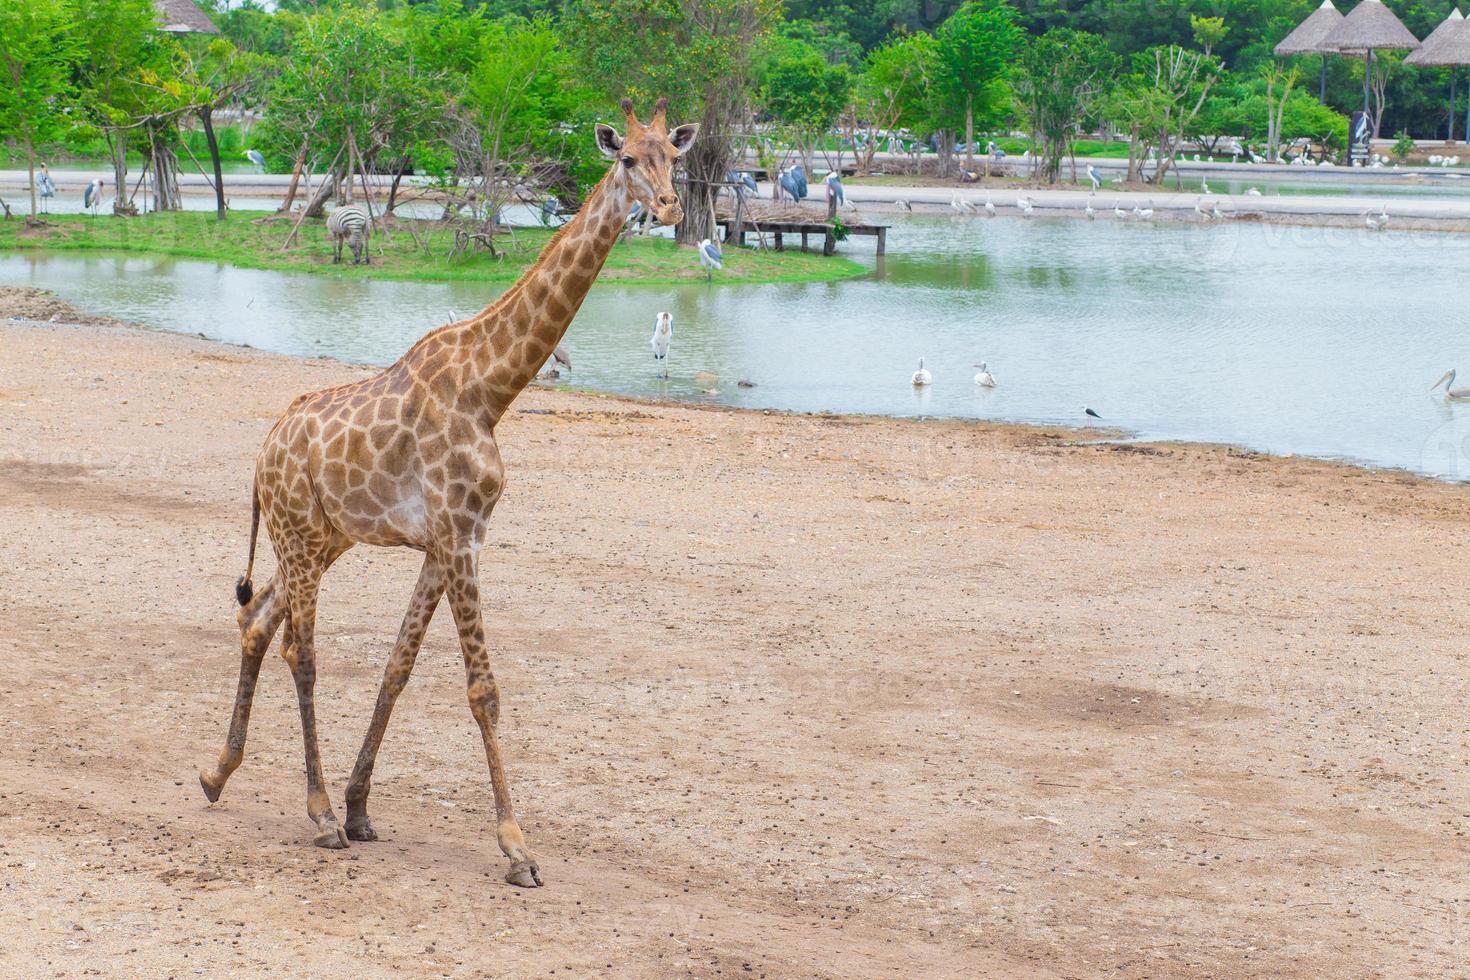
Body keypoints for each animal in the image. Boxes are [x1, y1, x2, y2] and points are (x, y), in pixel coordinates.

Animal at [198, 99, 696, 887]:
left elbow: (398, 668)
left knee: (257, 623)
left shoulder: (445, 541)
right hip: (299, 535)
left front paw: (363, 806)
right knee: (300, 650)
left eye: (674, 159)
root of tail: (263, 452)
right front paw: (516, 847)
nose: (672, 207)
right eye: (625, 160)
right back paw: (316, 815)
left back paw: (219, 774)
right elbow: (482, 689)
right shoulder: (459, 536)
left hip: (321, 538)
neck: (491, 389)